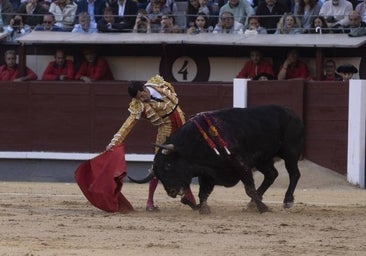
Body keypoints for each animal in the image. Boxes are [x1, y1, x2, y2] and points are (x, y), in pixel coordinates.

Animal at [130, 105, 304, 213]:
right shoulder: (207, 173)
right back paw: (251, 205)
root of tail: (292, 112)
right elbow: (203, 193)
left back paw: (287, 200)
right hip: (263, 160)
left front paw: (264, 208)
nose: (171, 192)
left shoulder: (240, 164)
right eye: (158, 174)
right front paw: (202, 209)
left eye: (167, 165)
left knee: (294, 174)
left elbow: (249, 189)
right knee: (271, 174)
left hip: (290, 152)